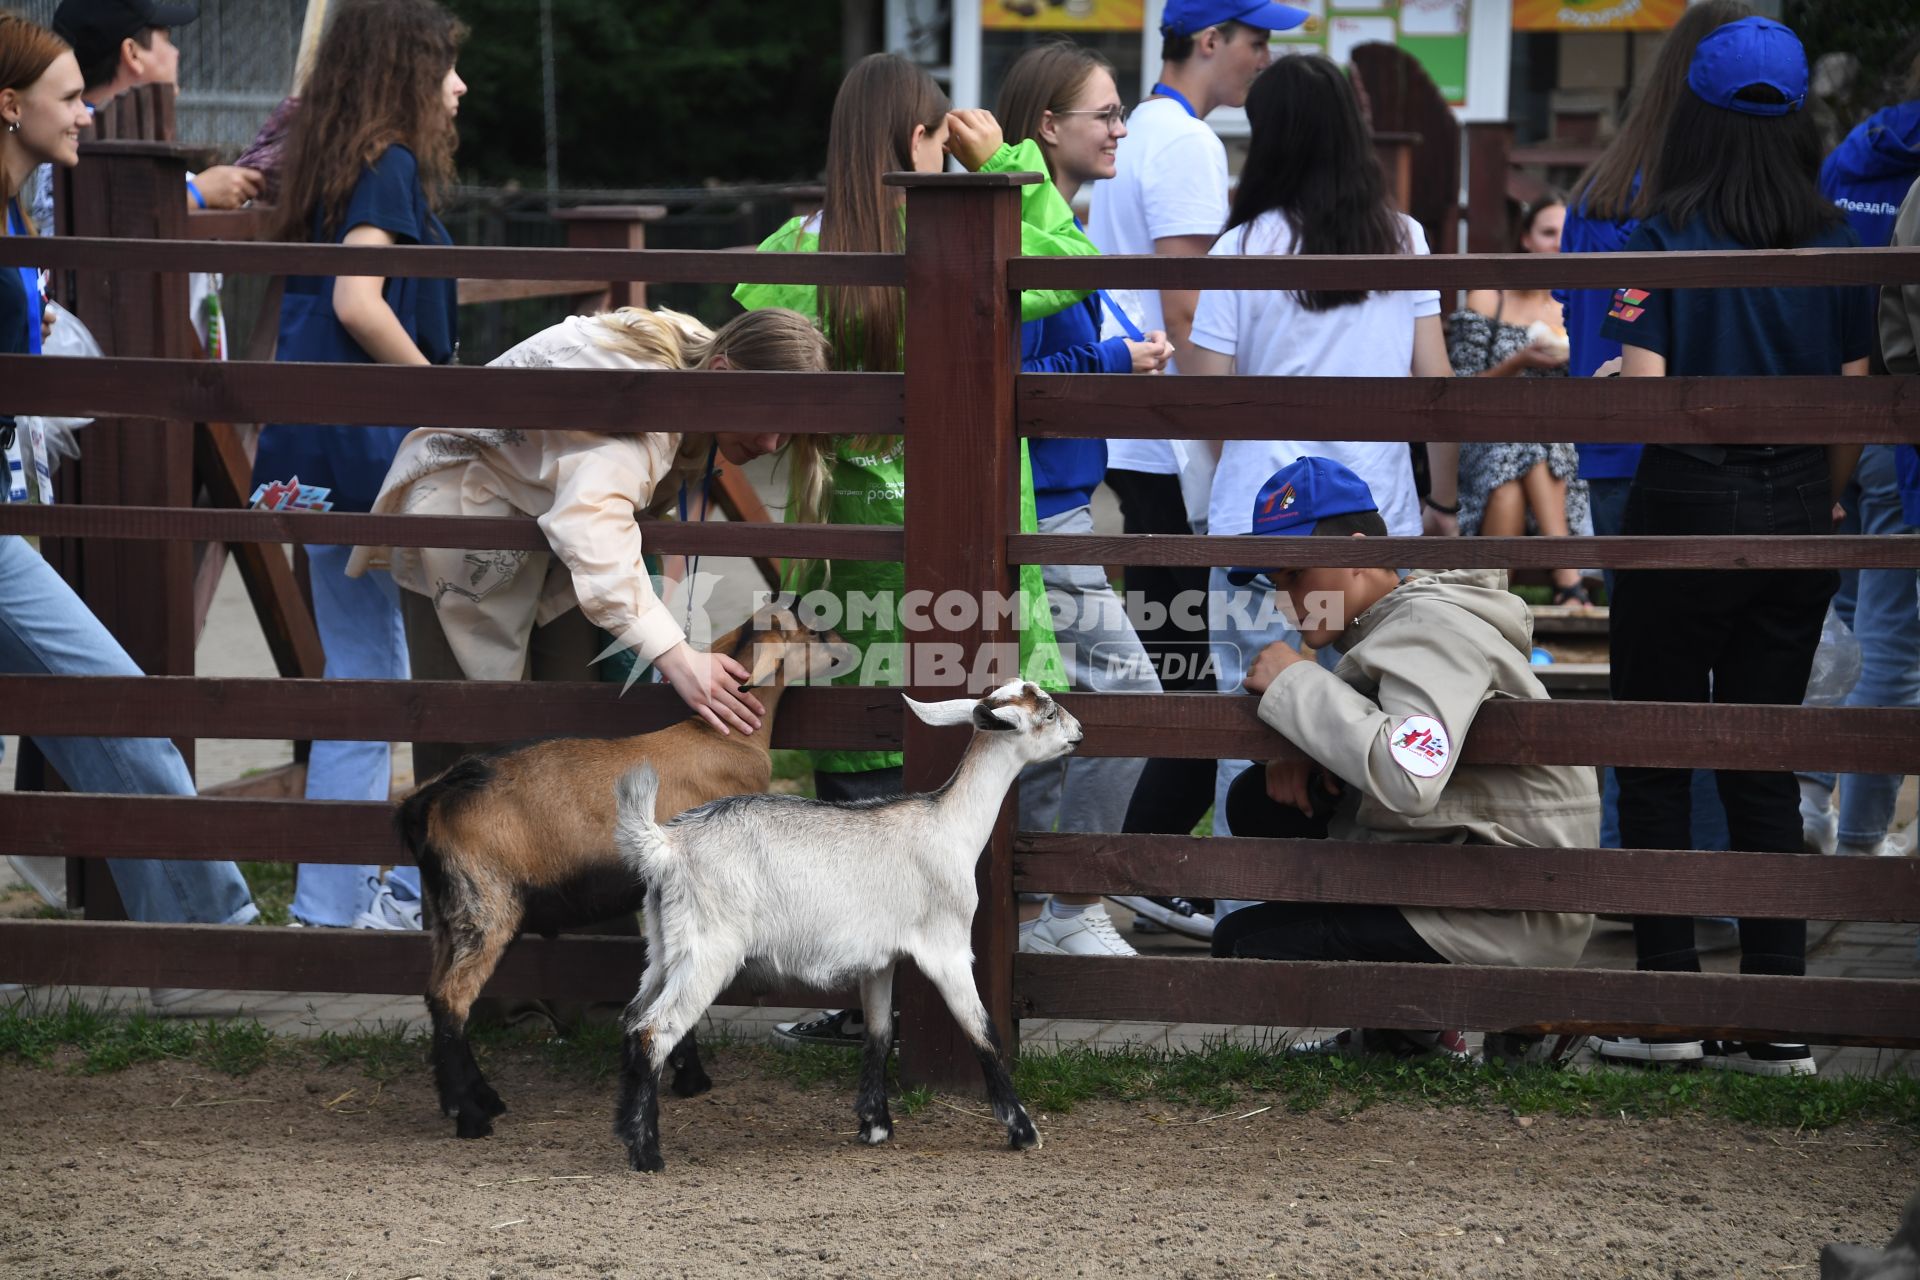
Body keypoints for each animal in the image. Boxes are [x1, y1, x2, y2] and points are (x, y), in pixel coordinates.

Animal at [395, 614, 848, 1143]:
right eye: (812, 632)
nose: (846, 647)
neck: (722, 740)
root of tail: (430, 800)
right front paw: (692, 1079)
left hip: (450, 909)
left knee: (434, 993)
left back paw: (475, 1099)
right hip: (486, 904)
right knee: (451, 999)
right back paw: (471, 1116)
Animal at [610, 679, 1082, 1174]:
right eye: (1049, 713)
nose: (1079, 733)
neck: (948, 826)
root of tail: (666, 846)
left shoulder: (880, 961)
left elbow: (879, 1034)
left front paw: (875, 1126)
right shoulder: (947, 949)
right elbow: (983, 1031)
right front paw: (1022, 1130)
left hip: (664, 948)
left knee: (631, 1020)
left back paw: (626, 1130)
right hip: (708, 951)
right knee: (654, 1031)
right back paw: (647, 1154)